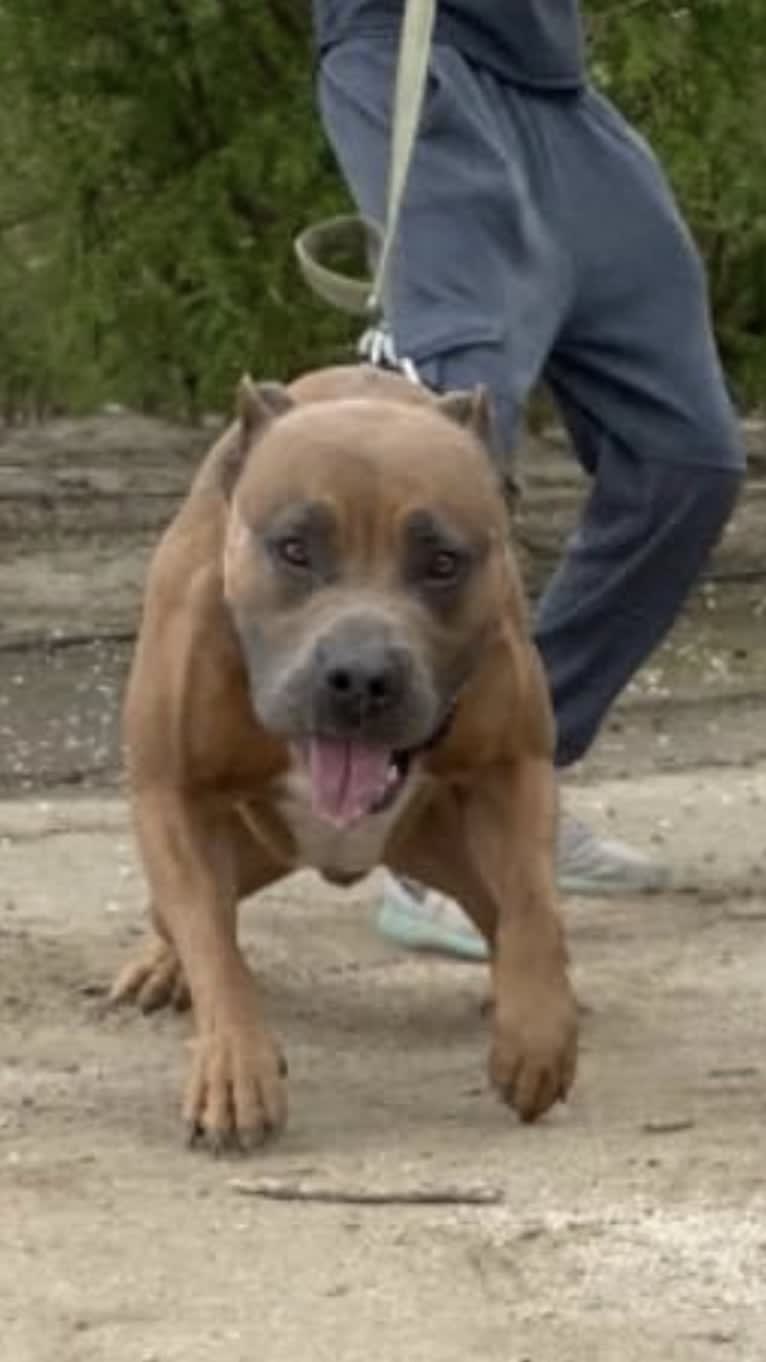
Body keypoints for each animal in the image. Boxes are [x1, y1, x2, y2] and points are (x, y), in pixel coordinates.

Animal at [111, 365, 572, 1149]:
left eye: (442, 562)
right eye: (295, 549)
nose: (360, 676)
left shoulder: (517, 765)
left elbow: (533, 906)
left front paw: (536, 1035)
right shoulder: (172, 792)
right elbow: (214, 946)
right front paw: (234, 1069)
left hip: (439, 846)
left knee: (502, 911)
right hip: (246, 845)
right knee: (181, 915)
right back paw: (163, 968)